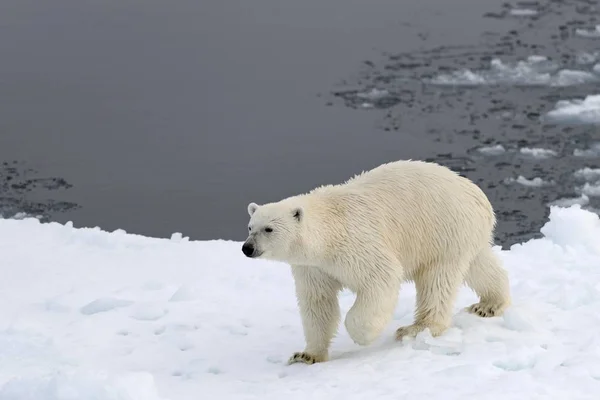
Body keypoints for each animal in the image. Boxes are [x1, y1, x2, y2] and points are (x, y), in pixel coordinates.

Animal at [243, 160, 510, 366]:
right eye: (250, 227)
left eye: (269, 229)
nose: (247, 248)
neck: (328, 230)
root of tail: (478, 195)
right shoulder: (314, 268)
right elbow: (318, 302)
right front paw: (306, 355)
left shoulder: (355, 243)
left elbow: (381, 277)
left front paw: (362, 336)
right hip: (462, 234)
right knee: (479, 265)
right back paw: (489, 304)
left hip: (443, 230)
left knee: (437, 280)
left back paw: (416, 328)